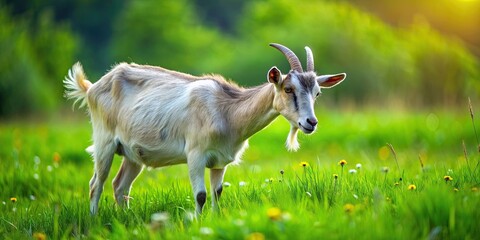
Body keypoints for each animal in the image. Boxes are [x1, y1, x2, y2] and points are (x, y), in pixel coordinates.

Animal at [65, 42, 346, 215]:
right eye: (288, 89)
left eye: (317, 93)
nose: (310, 122)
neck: (228, 112)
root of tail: (92, 87)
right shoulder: (196, 154)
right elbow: (200, 195)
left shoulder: (220, 161)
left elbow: (217, 192)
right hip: (104, 142)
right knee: (96, 183)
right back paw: (93, 219)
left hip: (133, 154)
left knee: (120, 186)